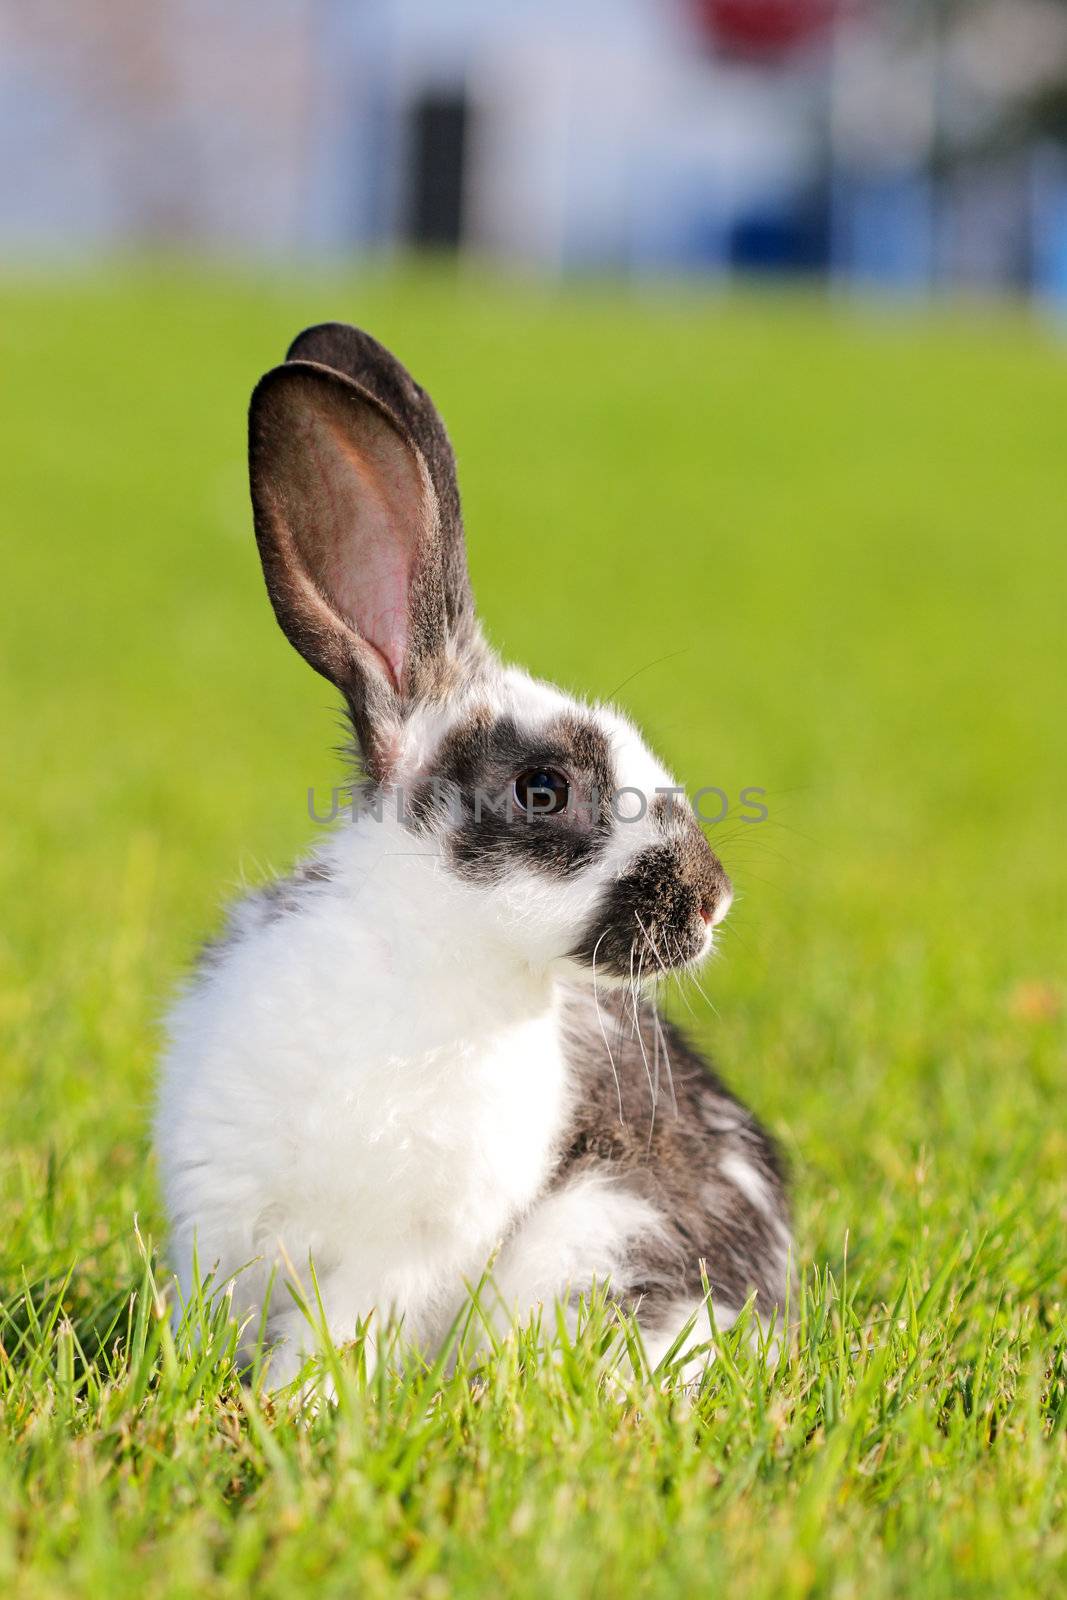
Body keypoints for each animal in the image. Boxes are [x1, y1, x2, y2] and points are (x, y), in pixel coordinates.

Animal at [158, 324, 793, 1388]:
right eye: (543, 790)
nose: (712, 902)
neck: (421, 959)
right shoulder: (224, 1224)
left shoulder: (403, 1254)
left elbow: (335, 1341)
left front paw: (291, 1411)